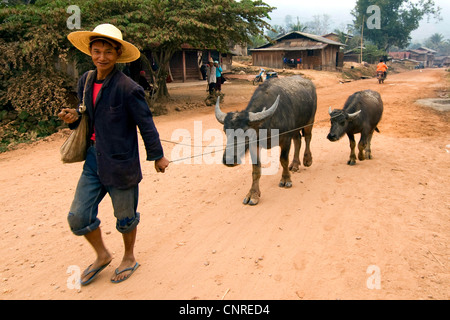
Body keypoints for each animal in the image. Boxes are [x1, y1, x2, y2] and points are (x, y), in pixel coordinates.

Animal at [214, 75, 316, 205]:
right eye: (225, 131)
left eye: (246, 131)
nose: (229, 160)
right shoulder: (254, 145)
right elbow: (256, 169)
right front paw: (253, 194)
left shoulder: (285, 139)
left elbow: (283, 160)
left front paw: (286, 180)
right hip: (296, 127)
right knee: (298, 140)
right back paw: (295, 165)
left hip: (310, 121)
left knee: (308, 137)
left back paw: (307, 160)